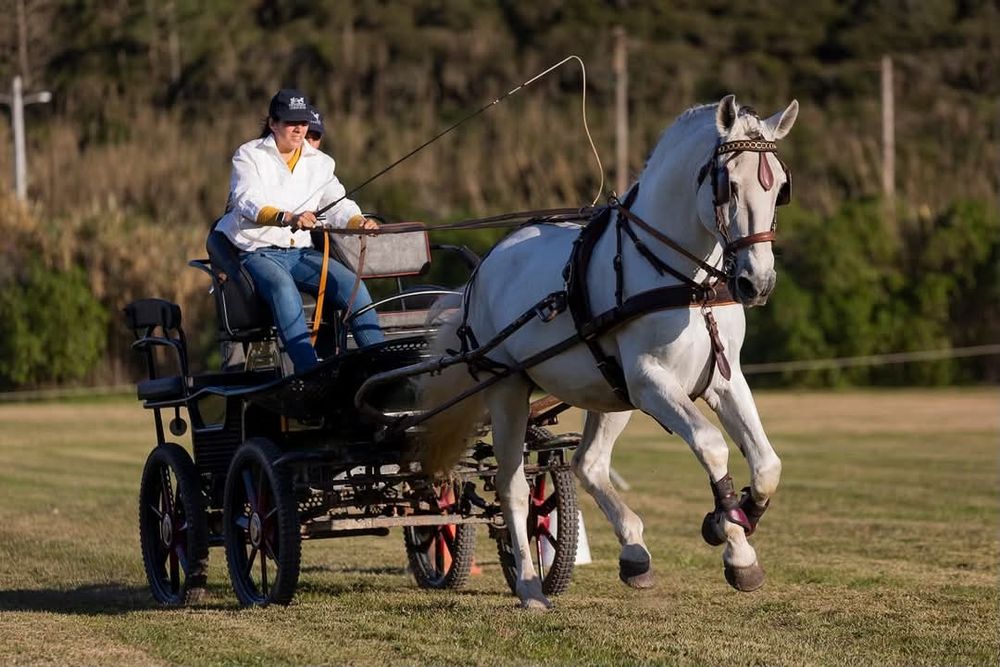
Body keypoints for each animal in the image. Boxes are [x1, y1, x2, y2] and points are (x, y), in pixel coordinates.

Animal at [420, 94, 798, 609]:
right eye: (729, 186)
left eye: (779, 187)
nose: (757, 283)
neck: (689, 286)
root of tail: (483, 268)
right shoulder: (650, 380)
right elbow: (712, 445)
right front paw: (735, 546)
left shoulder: (722, 378)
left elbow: (766, 465)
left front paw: (733, 518)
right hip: (509, 387)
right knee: (512, 488)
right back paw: (531, 585)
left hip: (609, 393)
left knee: (587, 463)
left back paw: (635, 553)